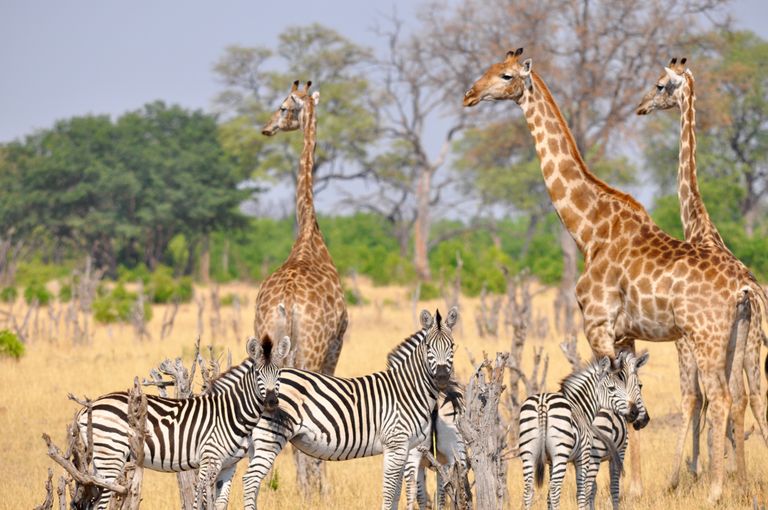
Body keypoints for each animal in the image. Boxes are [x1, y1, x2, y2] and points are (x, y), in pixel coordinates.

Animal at [73, 333, 290, 510]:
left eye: (279, 372)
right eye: (257, 373)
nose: (272, 401)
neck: (230, 413)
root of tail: (88, 408)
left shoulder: (229, 465)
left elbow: (220, 504)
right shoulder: (209, 460)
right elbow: (198, 502)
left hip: (102, 459)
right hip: (111, 456)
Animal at [236, 307, 458, 510]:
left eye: (452, 346)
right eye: (428, 346)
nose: (441, 378)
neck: (408, 389)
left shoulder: (405, 447)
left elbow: (396, 494)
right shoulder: (396, 444)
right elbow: (389, 494)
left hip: (258, 441)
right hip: (270, 437)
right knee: (250, 481)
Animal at [519, 352, 648, 510]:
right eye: (640, 385)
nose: (636, 414)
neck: (580, 407)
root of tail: (543, 403)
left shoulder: (551, 461)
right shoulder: (588, 455)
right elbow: (588, 491)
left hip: (528, 453)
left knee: (529, 489)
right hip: (565, 454)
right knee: (557, 489)